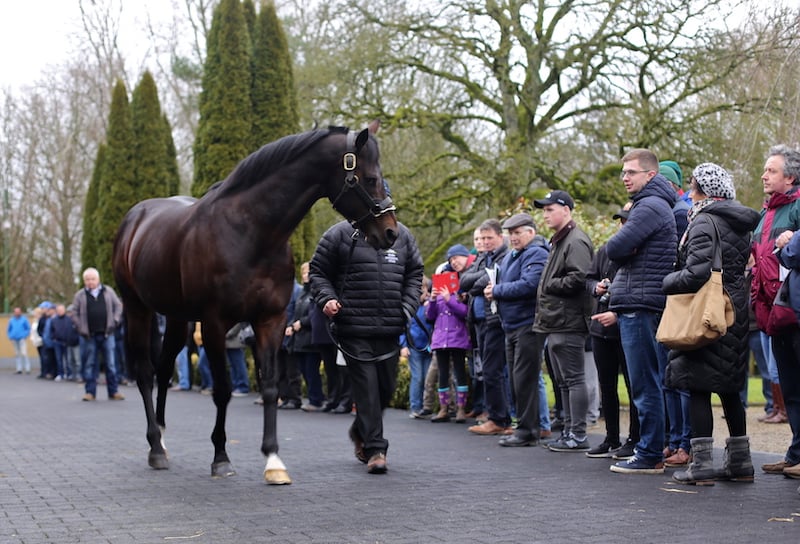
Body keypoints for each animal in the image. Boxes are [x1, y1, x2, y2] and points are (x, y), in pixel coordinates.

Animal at [111, 123, 398, 484]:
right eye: (370, 178)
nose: (390, 233)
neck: (251, 232)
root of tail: (134, 218)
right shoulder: (215, 323)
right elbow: (222, 390)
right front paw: (221, 458)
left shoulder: (271, 320)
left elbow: (271, 387)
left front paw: (273, 461)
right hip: (138, 308)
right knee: (146, 373)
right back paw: (154, 448)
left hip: (177, 317)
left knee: (163, 370)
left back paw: (162, 437)